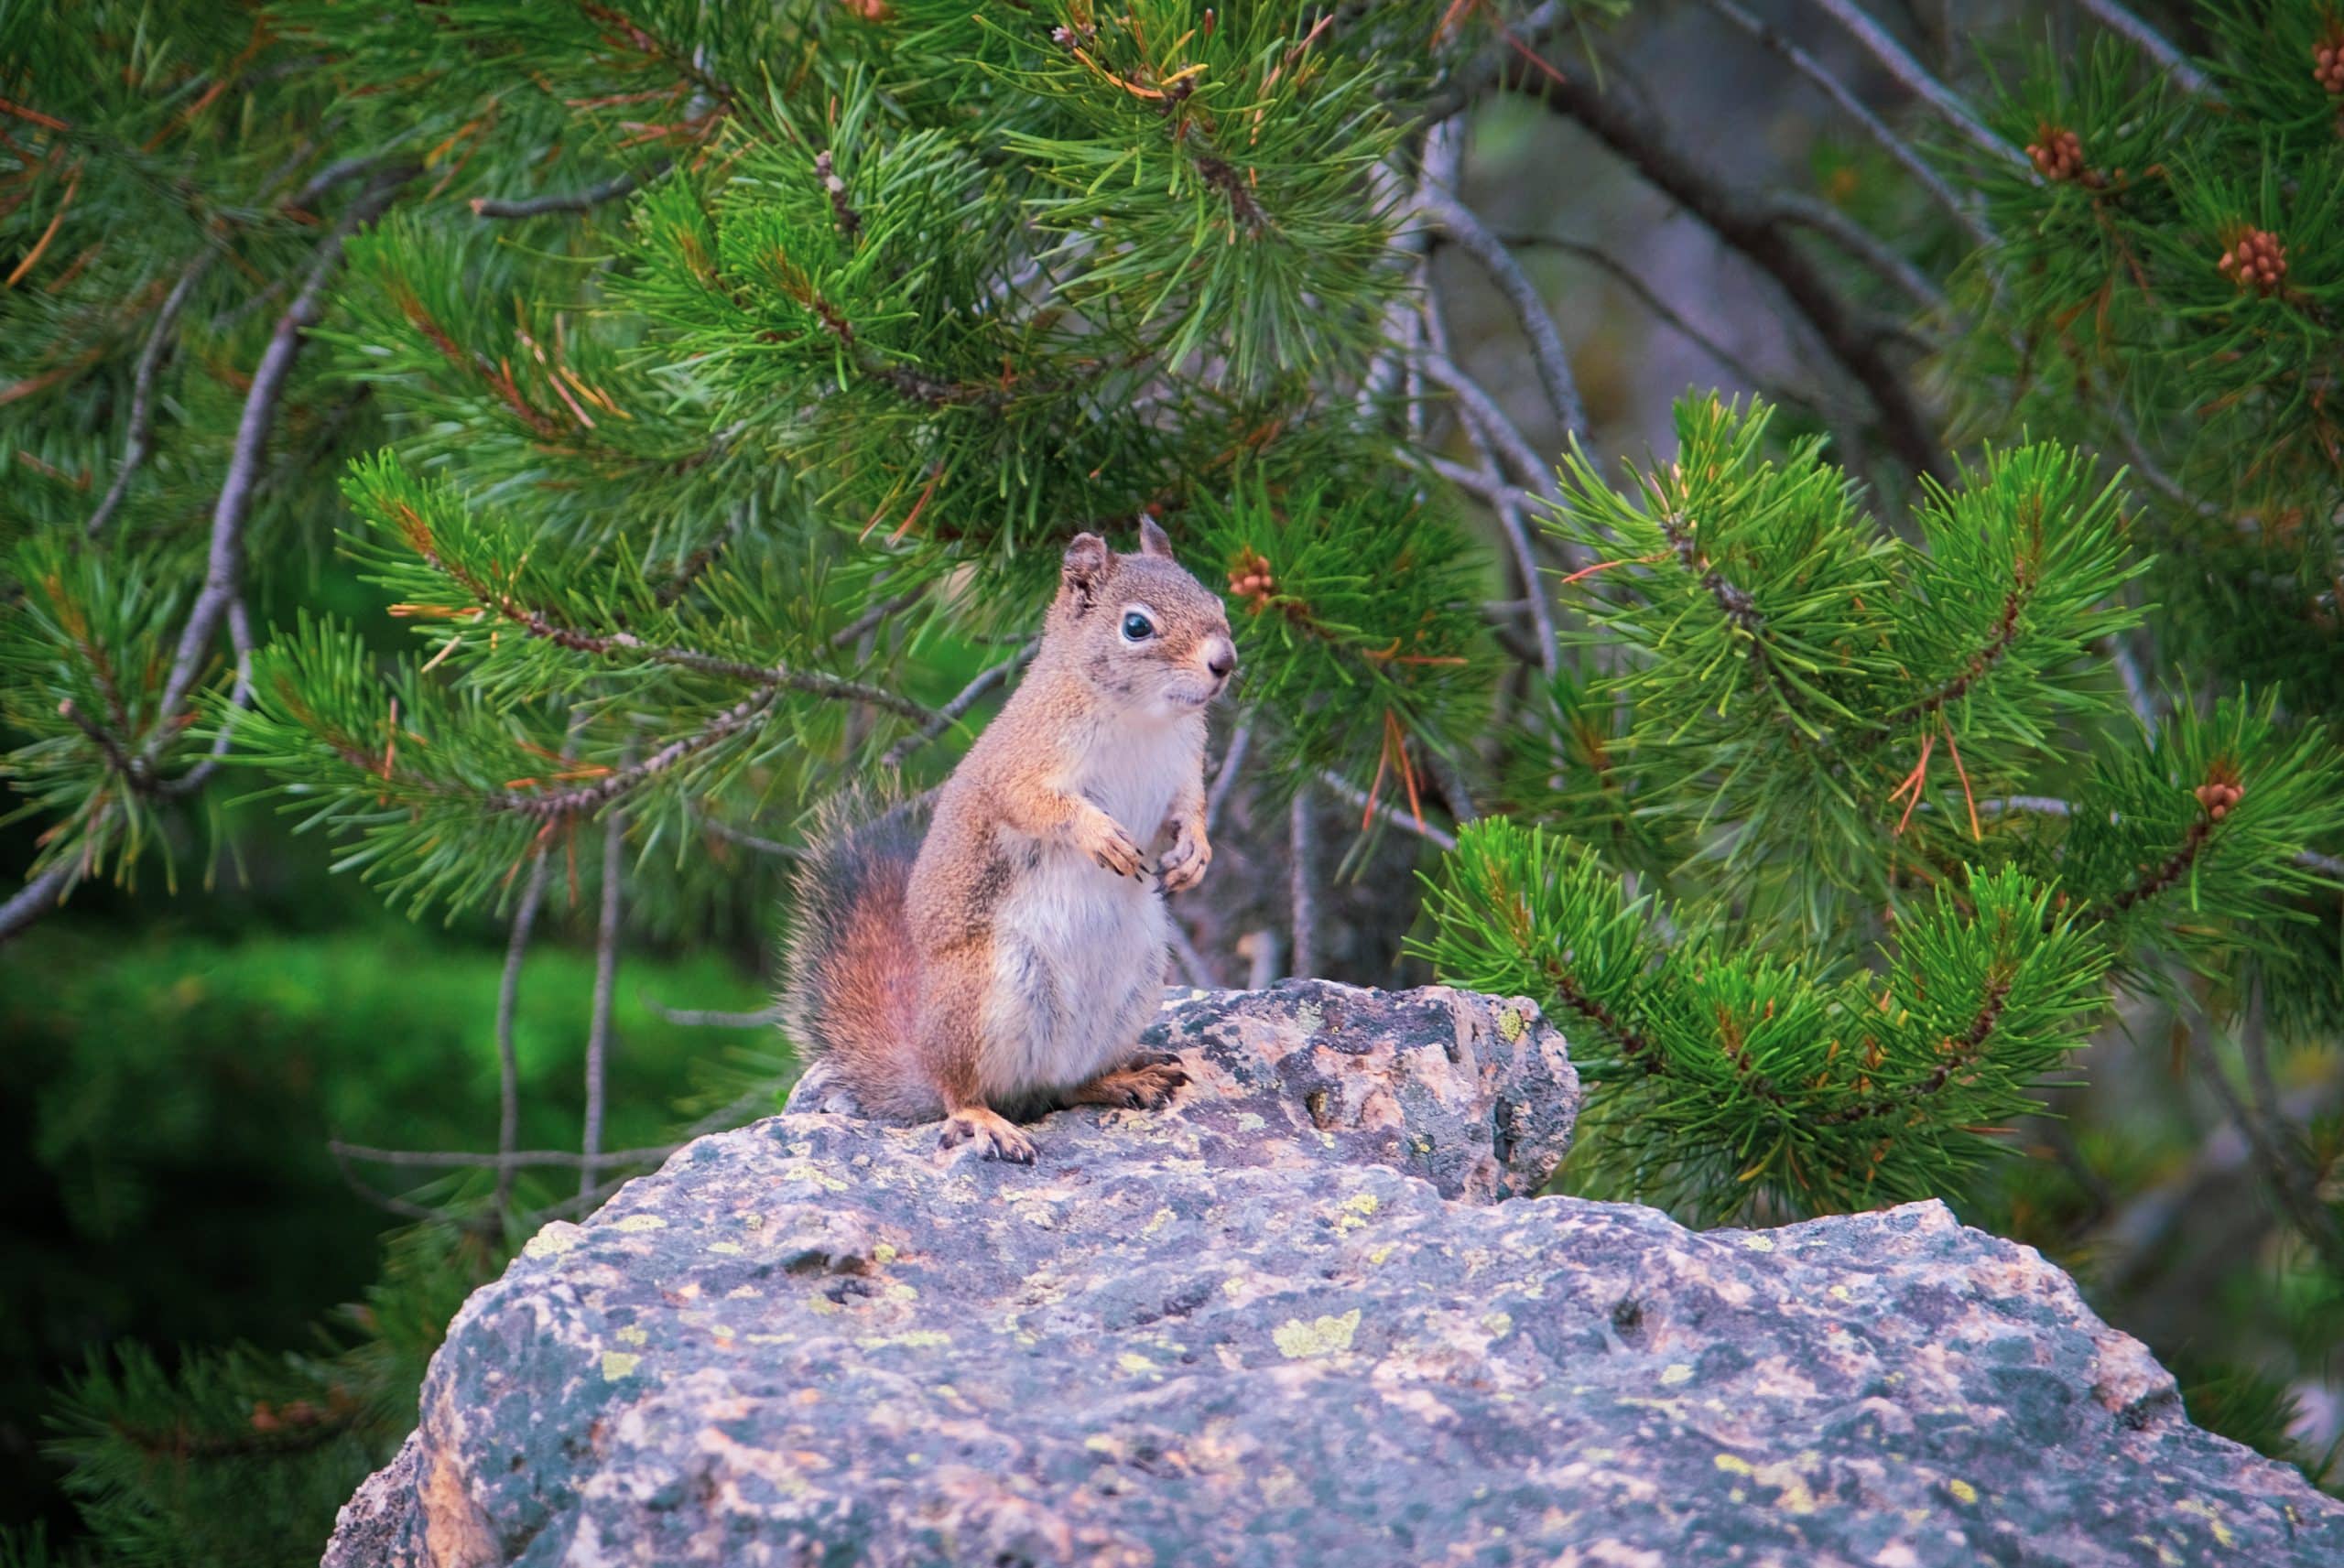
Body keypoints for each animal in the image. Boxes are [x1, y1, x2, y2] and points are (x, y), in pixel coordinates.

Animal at [777, 523, 1237, 1162]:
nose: (1225, 662)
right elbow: (1038, 806)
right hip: (982, 1000)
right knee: (967, 1091)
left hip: (1133, 990)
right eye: (1136, 626)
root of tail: (922, 1056)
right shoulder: (1021, 765)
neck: (1139, 718)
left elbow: (1190, 809)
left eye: (1214, 599)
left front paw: (1194, 854)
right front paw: (1101, 836)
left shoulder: (1185, 766)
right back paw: (983, 1119)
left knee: (1061, 1088)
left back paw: (1120, 1079)